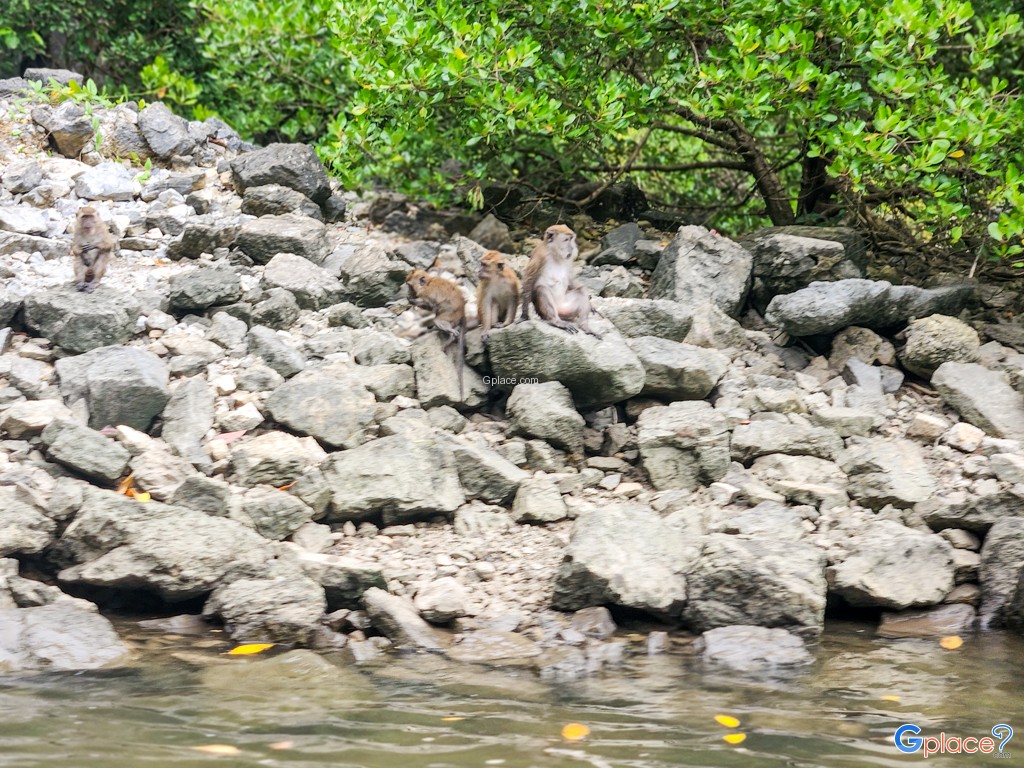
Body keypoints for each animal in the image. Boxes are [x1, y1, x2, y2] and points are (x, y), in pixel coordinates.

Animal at [405, 268, 466, 399]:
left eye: (410, 286)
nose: (409, 293)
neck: (428, 283)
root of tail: (463, 313)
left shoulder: (427, 294)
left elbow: (428, 304)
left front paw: (411, 300)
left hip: (449, 315)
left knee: (441, 323)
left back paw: (450, 337)